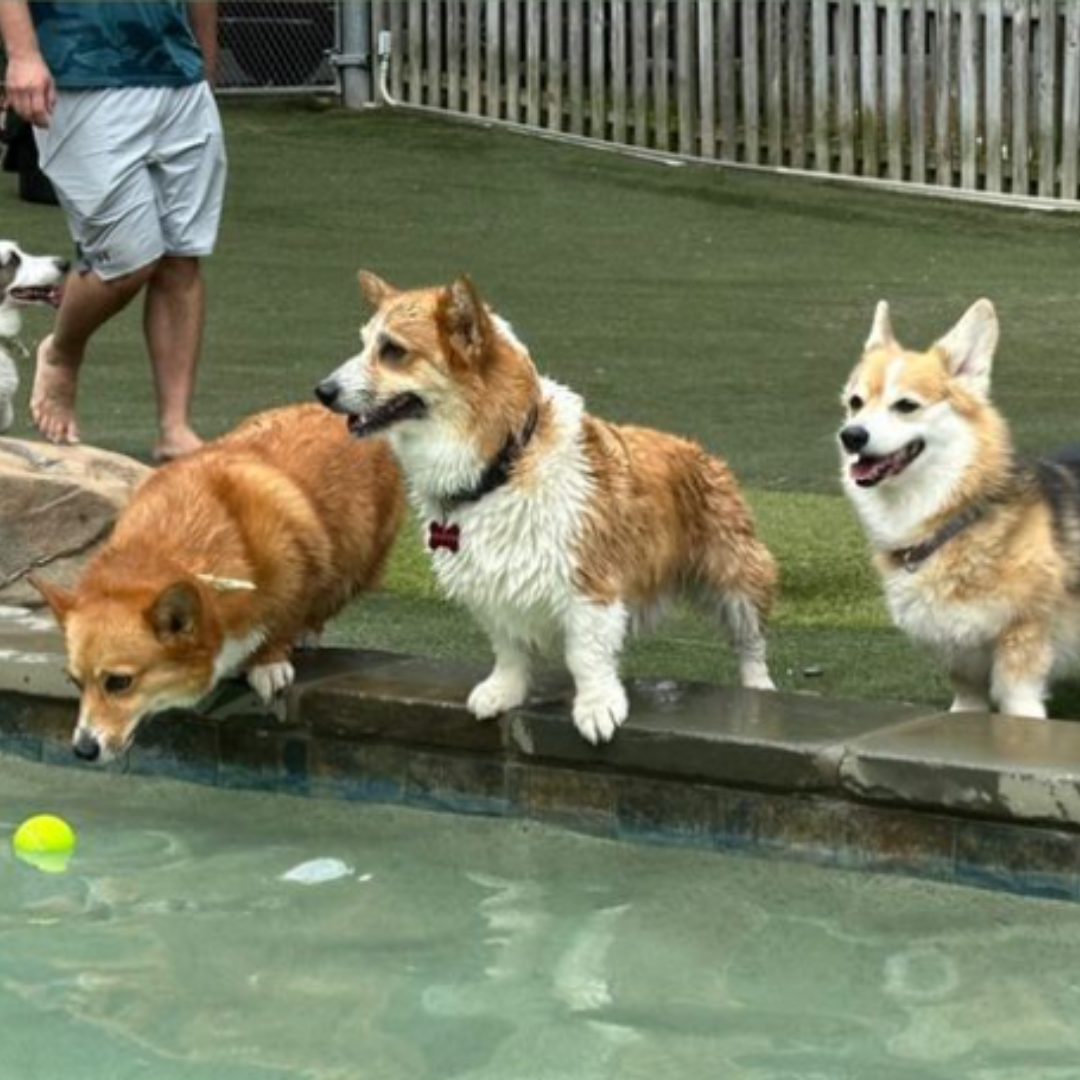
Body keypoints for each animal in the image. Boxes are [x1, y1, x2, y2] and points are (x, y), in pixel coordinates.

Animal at [315, 270, 781, 743]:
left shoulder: (590, 584)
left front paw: (596, 707)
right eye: (363, 343)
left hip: (735, 575)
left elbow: (586, 654)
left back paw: (759, 690)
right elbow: (508, 648)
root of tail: (698, 450)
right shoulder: (491, 586)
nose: (322, 391)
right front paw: (502, 691)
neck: (503, 462)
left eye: (393, 350)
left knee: (751, 641)